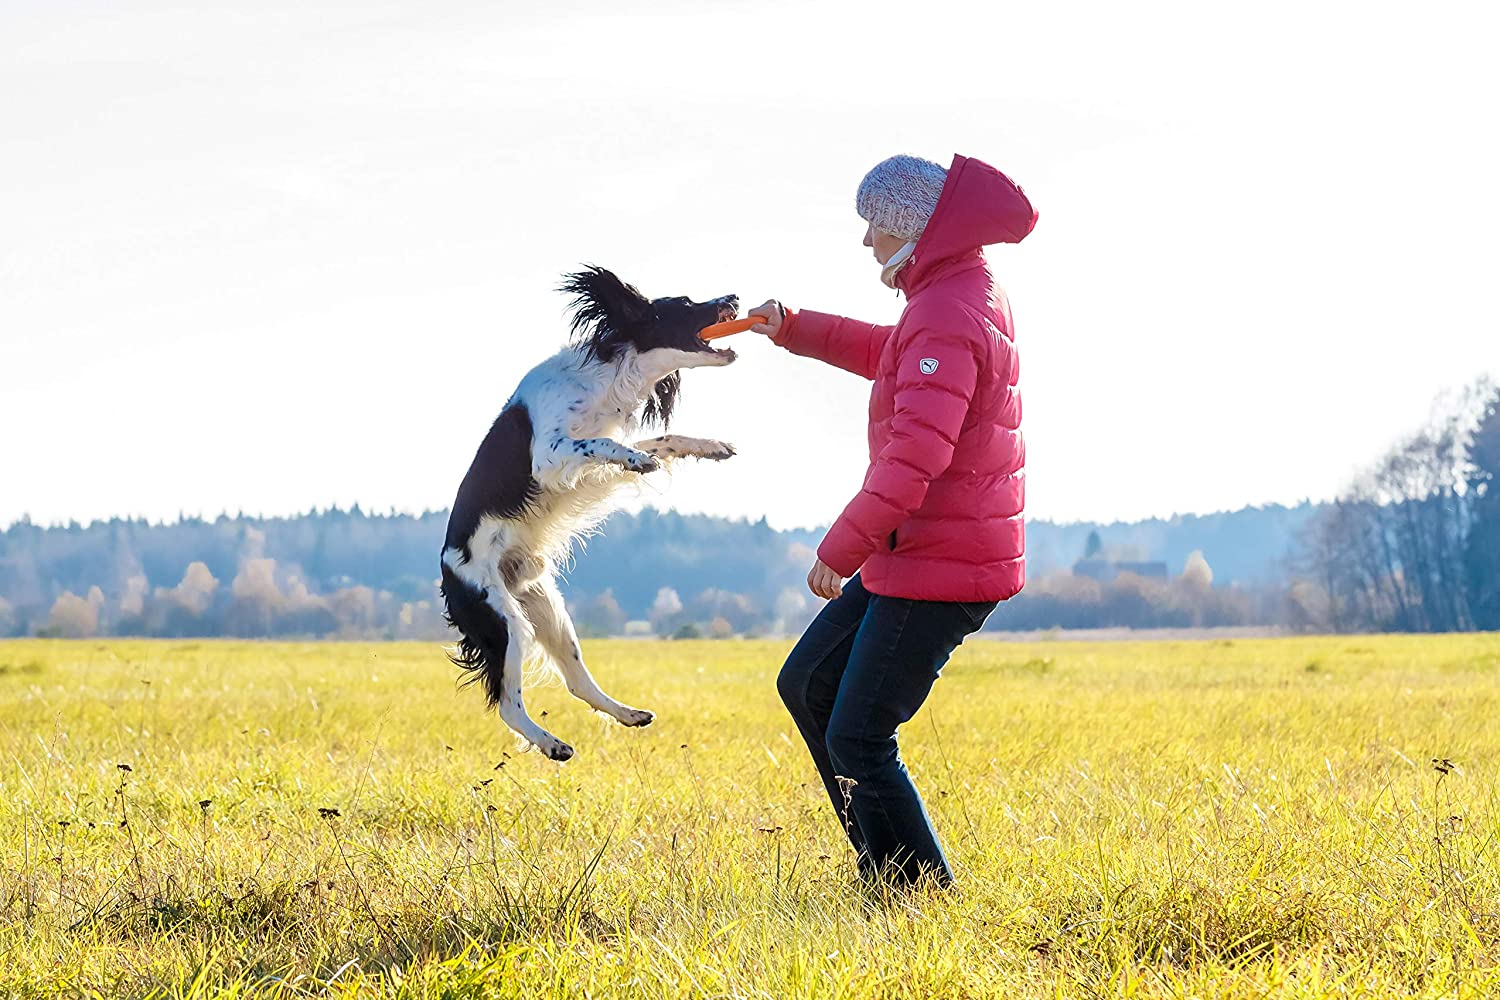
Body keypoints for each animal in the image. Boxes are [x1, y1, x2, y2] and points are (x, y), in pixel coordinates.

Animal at [438, 265, 741, 758]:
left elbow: (661, 439)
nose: (733, 296)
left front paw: (709, 446)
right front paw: (637, 459)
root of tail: (446, 572)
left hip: (548, 611)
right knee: (508, 705)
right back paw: (553, 745)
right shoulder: (549, 454)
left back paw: (629, 714)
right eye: (686, 303)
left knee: (577, 681)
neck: (608, 371)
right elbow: (601, 444)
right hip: (506, 621)